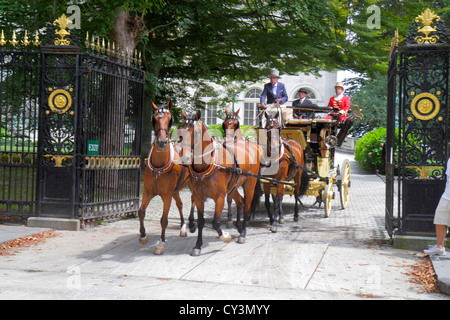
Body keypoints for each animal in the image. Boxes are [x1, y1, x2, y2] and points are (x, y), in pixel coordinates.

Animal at [139, 100, 192, 255]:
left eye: (170, 119)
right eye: (155, 119)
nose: (162, 141)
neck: (159, 166)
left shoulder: (166, 194)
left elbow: (164, 220)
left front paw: (160, 244)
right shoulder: (148, 191)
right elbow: (141, 212)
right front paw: (143, 235)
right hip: (176, 190)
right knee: (180, 204)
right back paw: (182, 227)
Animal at [179, 110, 262, 255]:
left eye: (196, 132)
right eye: (182, 130)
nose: (185, 157)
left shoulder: (220, 197)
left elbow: (215, 223)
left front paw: (225, 236)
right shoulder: (198, 196)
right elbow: (201, 221)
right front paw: (198, 245)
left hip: (249, 184)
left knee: (246, 206)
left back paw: (243, 233)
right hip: (232, 187)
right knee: (240, 201)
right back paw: (239, 226)